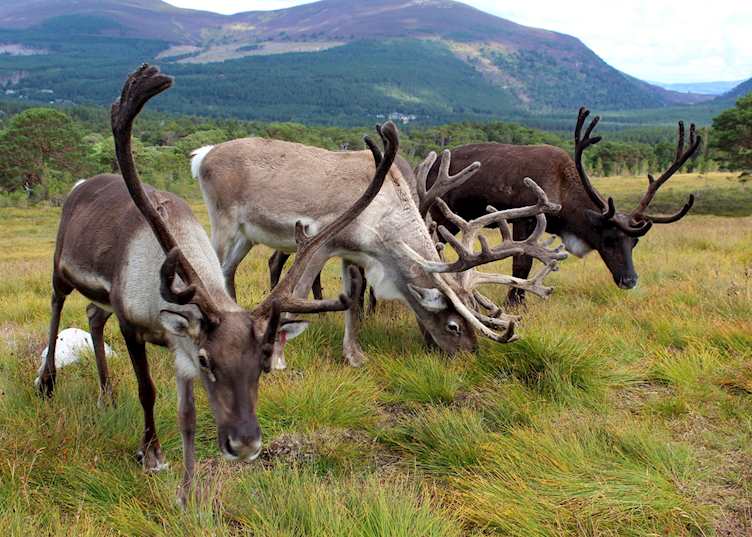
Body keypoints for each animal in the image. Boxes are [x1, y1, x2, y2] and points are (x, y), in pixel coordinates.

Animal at [35, 64, 395, 504]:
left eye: (264, 359)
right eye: (208, 360)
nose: (245, 444)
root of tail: (80, 184)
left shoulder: (178, 341)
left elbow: (187, 414)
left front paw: (185, 489)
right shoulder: (133, 323)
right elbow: (147, 389)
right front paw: (151, 454)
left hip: (100, 297)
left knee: (91, 314)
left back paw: (106, 393)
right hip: (60, 266)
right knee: (55, 305)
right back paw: (47, 381)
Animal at [191, 129, 567, 368]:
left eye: (472, 315)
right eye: (453, 326)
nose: (470, 354)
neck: (380, 219)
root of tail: (201, 155)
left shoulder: (351, 252)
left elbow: (354, 299)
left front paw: (353, 355)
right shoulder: (320, 242)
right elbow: (296, 292)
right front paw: (281, 352)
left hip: (246, 235)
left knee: (227, 272)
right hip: (222, 222)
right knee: (209, 268)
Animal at [421, 107, 700, 304]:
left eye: (635, 242)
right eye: (608, 239)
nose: (630, 280)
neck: (564, 193)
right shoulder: (524, 216)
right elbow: (521, 263)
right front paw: (515, 302)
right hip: (440, 211)